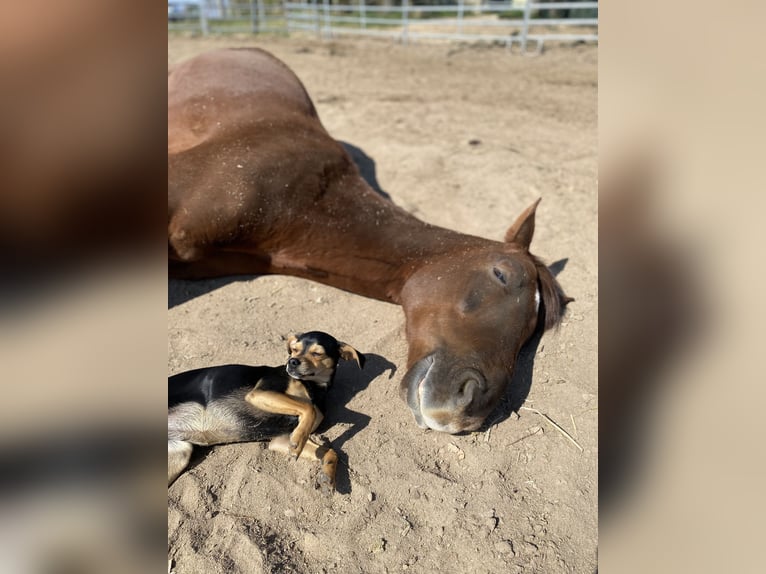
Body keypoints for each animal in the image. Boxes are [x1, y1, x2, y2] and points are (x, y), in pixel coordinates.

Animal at [166, 332, 364, 496]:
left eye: (317, 353)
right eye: (294, 350)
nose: (292, 362)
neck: (313, 387)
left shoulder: (282, 438)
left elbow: (331, 452)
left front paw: (327, 477)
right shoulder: (260, 393)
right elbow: (307, 408)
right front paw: (298, 443)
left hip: (180, 453)